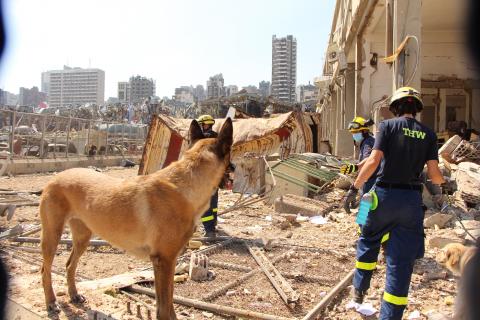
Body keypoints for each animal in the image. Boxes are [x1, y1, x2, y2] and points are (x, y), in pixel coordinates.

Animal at [40, 119, 232, 318]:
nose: (234, 168)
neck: (186, 186)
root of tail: (56, 177)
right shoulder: (164, 261)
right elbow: (165, 307)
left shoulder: (167, 261)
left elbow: (168, 302)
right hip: (52, 236)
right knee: (45, 270)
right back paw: (51, 302)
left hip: (82, 238)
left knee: (70, 265)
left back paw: (74, 295)